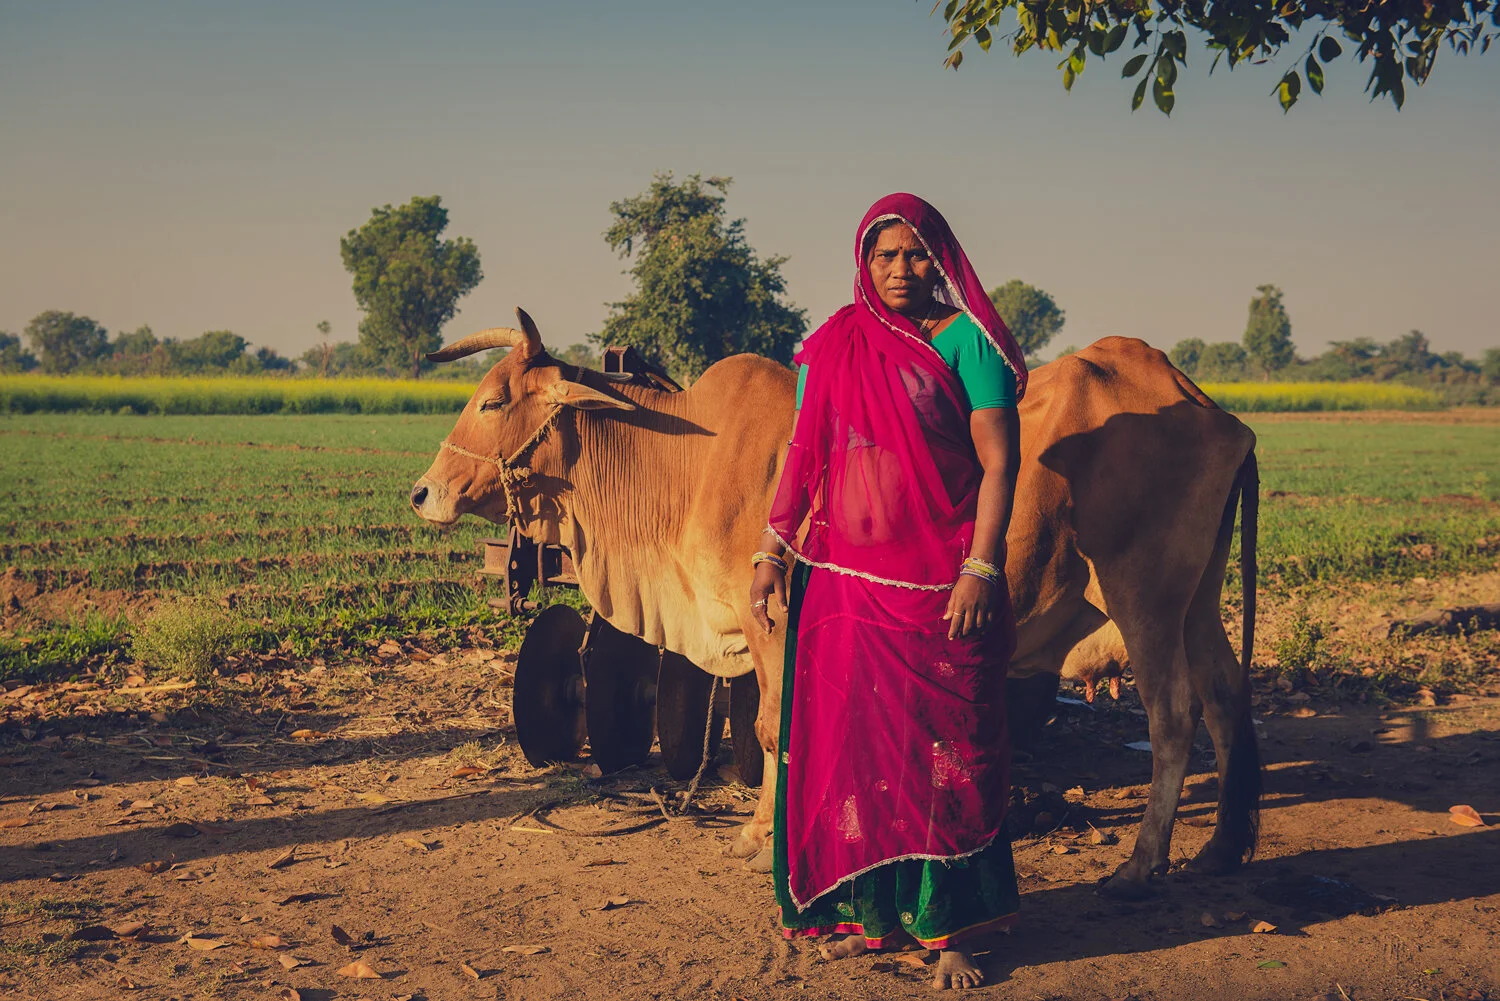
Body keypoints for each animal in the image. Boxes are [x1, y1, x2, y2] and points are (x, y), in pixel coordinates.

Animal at [409, 308, 1260, 900]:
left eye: (493, 402)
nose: (422, 492)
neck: (686, 460)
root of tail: (1201, 400)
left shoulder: (771, 620)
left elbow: (769, 726)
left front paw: (768, 839)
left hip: (1142, 594)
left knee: (1175, 716)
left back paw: (1143, 864)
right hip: (1197, 600)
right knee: (1225, 697)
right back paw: (1222, 847)